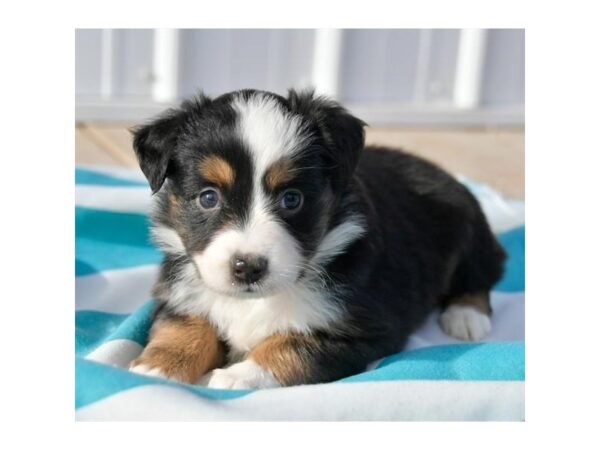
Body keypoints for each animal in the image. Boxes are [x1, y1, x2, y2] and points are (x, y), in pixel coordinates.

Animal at [127, 89, 506, 388]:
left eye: (292, 199)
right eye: (208, 198)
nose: (248, 267)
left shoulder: (360, 330)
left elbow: (291, 346)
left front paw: (238, 376)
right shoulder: (180, 293)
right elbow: (183, 327)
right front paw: (157, 367)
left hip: (470, 231)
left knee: (482, 275)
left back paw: (466, 317)